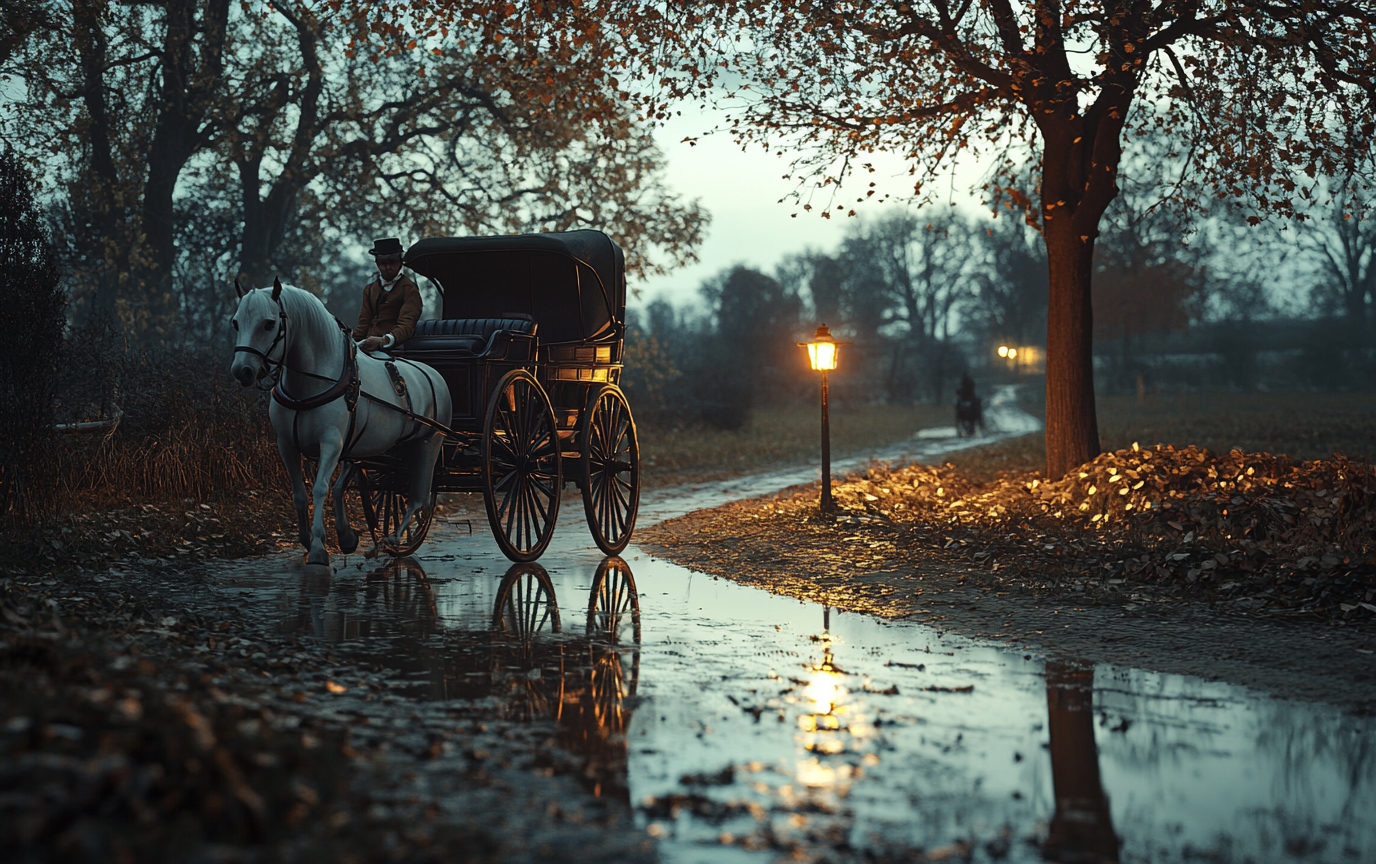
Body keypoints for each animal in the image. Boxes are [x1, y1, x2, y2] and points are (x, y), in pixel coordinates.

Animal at [231, 277, 451, 566]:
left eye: (268, 323)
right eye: (236, 322)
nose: (242, 371)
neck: (311, 382)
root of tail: (435, 374)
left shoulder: (331, 443)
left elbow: (320, 489)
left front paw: (317, 548)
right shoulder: (287, 445)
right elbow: (300, 493)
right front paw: (310, 539)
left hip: (429, 442)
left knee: (418, 498)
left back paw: (392, 539)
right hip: (365, 446)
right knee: (353, 487)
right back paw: (352, 536)